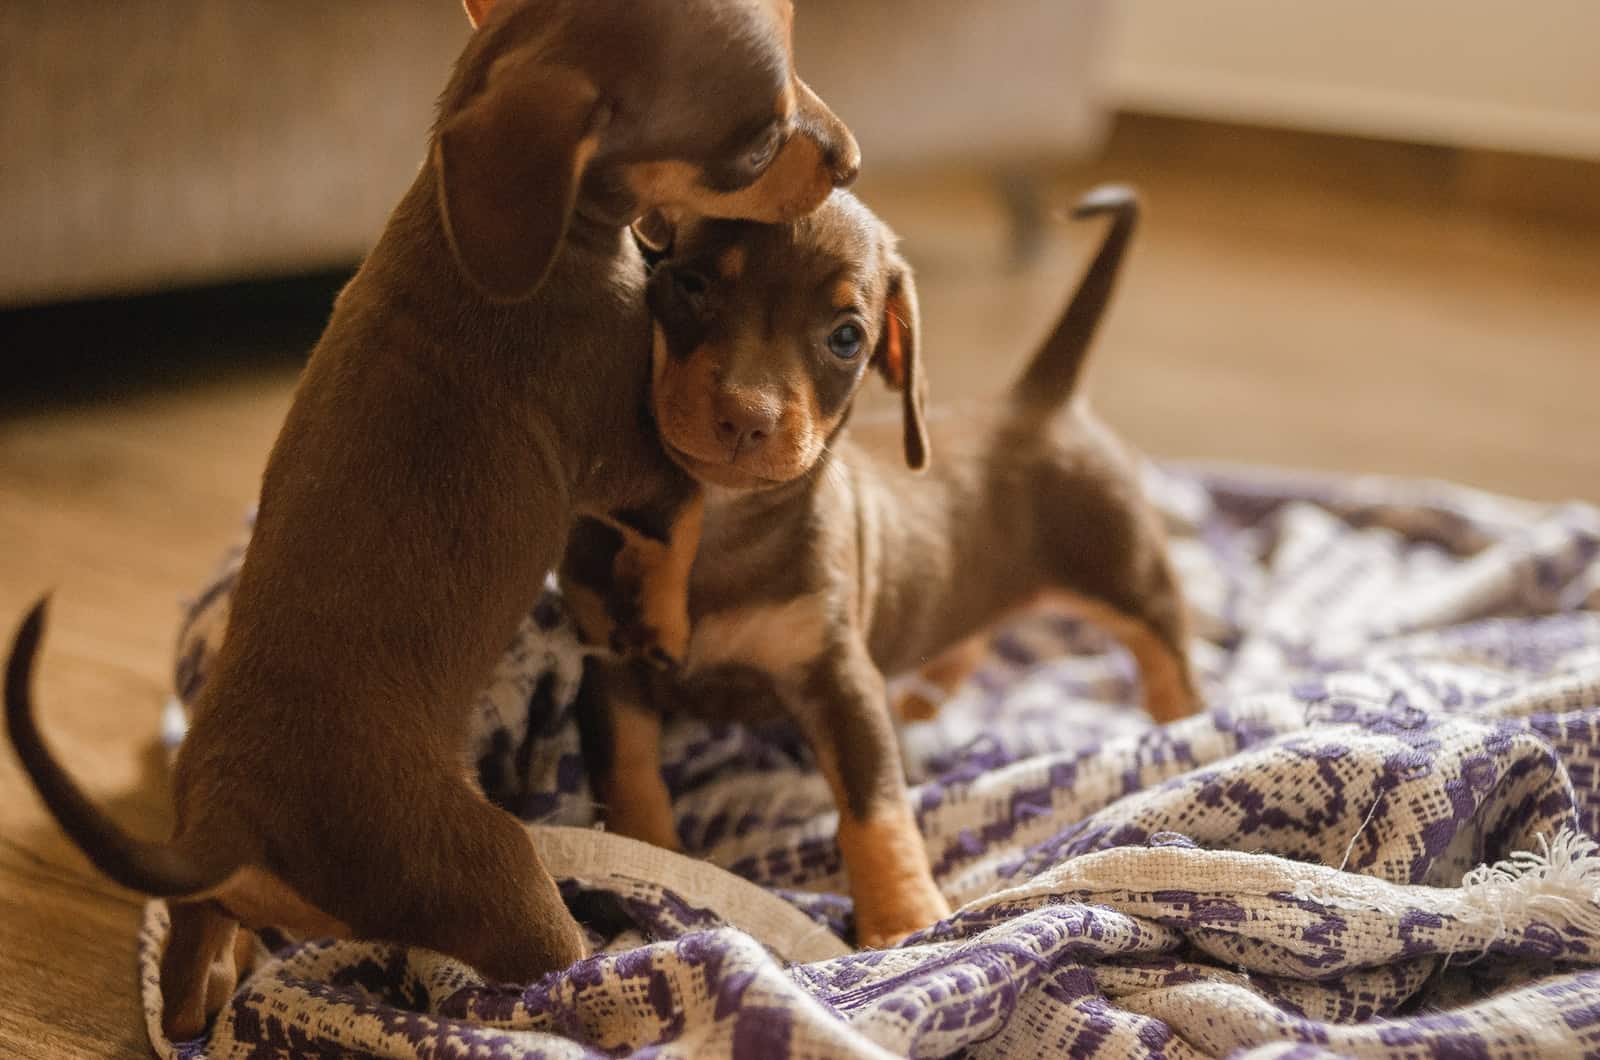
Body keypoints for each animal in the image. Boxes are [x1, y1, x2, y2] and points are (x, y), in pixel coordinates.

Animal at [6, 0, 857, 1043]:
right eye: (760, 141)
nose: (853, 159)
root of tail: (230, 819)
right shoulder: (627, 455)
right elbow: (685, 510)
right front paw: (659, 618)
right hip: (496, 872)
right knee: (549, 977)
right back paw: (632, 961)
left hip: (221, 901)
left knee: (192, 956)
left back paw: (209, 993)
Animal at [563, 186, 1203, 947]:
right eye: (690, 285)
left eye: (846, 337)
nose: (747, 418)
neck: (714, 527)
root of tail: (1040, 397)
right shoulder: (611, 668)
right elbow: (630, 781)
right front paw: (647, 872)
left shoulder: (840, 679)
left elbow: (876, 809)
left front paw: (901, 920)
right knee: (967, 639)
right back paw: (922, 701)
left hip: (1127, 578)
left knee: (1166, 656)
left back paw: (1190, 726)